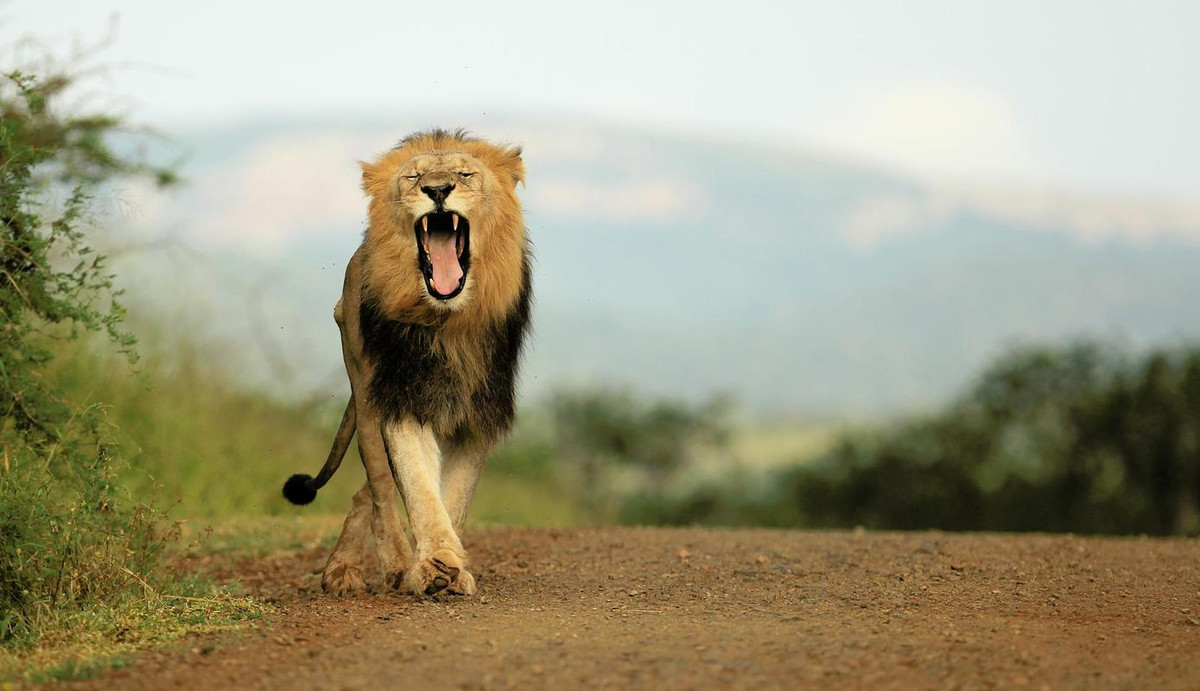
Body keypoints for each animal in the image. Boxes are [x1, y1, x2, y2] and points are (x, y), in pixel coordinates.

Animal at [280, 130, 530, 599]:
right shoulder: (402, 397)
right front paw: (432, 566)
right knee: (378, 485)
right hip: (363, 384)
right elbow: (417, 487)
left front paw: (449, 567)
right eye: (413, 178)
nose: (438, 190)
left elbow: (454, 496)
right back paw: (381, 565)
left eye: (464, 174)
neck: (447, 322)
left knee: (365, 493)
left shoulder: (480, 411)